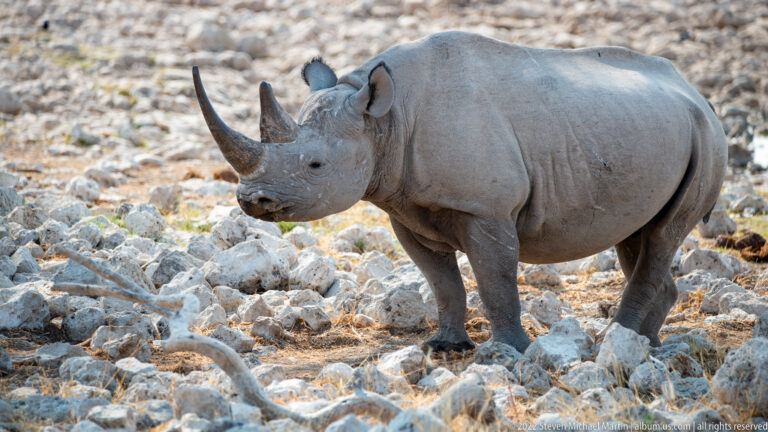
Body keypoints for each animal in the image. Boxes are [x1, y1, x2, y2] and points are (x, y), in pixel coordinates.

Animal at [192, 31, 727, 353]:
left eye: (316, 165)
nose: (251, 201)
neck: (386, 120)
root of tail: (695, 92)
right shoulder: (406, 208)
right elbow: (441, 282)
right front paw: (444, 347)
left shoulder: (485, 209)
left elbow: (495, 280)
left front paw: (509, 350)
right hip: (652, 130)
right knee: (637, 238)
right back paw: (642, 347)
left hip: (706, 137)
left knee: (662, 236)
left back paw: (618, 342)